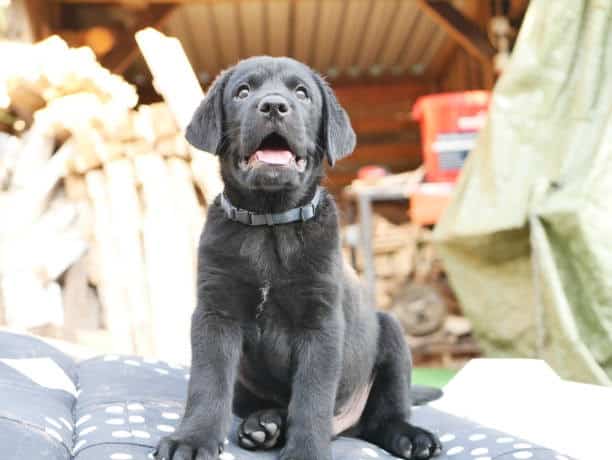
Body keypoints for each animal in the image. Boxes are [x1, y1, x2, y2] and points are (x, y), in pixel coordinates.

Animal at [153, 57, 440, 460]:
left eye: (302, 93)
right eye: (243, 91)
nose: (273, 106)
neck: (270, 223)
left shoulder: (320, 323)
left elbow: (311, 398)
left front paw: (305, 450)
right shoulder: (215, 312)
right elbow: (207, 383)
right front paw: (192, 439)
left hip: (392, 334)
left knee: (383, 417)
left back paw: (411, 437)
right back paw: (264, 425)